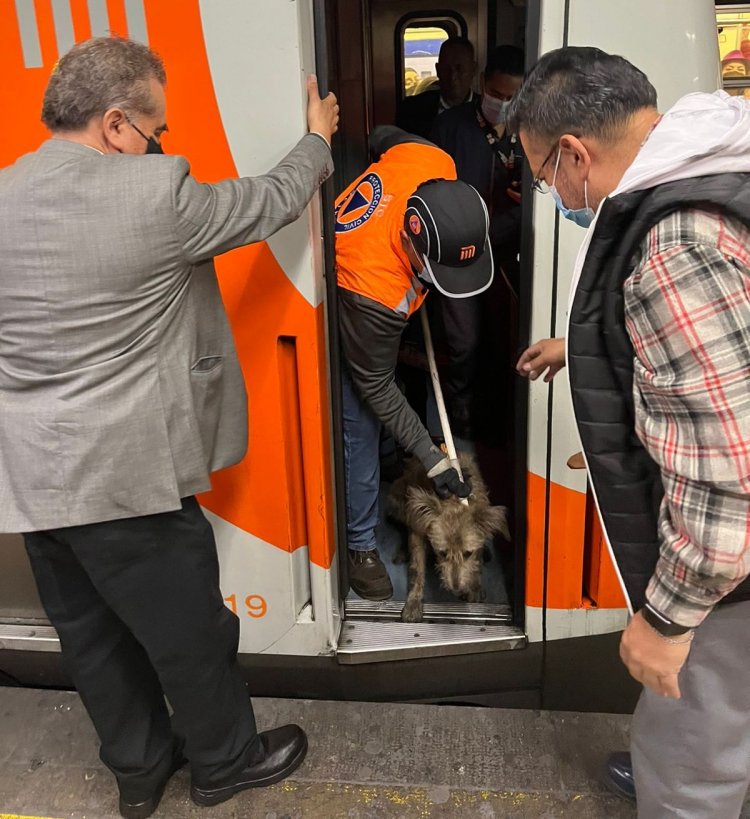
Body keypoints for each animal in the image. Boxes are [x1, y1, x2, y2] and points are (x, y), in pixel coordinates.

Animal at [388, 454, 512, 620]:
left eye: (468, 553)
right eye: (441, 553)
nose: (456, 589)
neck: (454, 499)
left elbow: (477, 559)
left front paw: (475, 587)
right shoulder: (417, 529)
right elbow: (417, 568)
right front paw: (413, 602)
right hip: (398, 501)